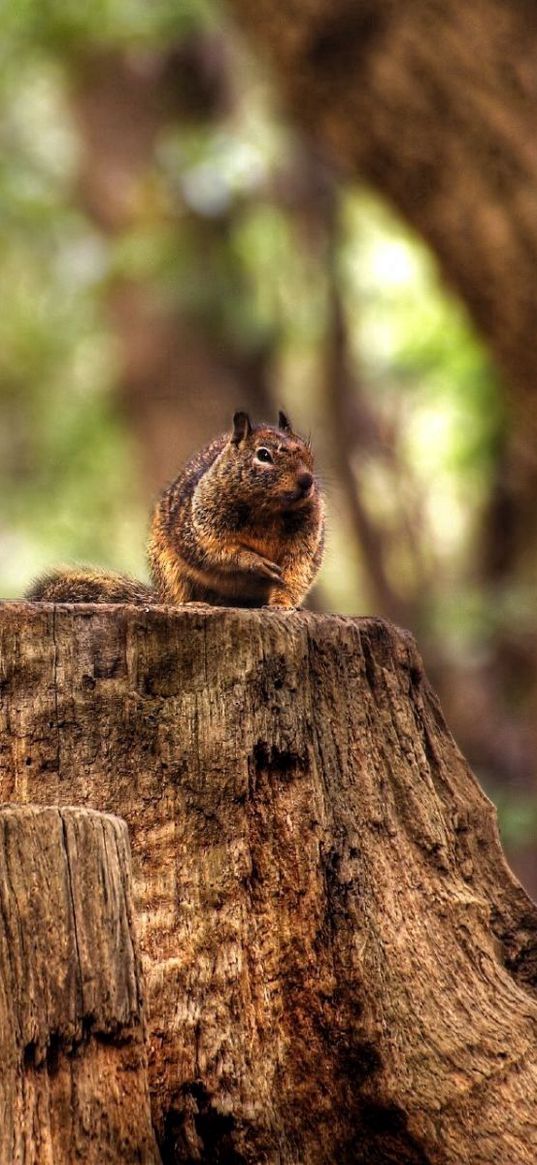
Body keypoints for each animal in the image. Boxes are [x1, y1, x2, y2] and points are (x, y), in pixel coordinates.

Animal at [27, 410, 323, 610]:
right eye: (263, 455)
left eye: (308, 451)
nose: (307, 481)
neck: (268, 510)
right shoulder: (200, 526)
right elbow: (216, 552)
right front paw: (254, 561)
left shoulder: (306, 539)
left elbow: (296, 571)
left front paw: (283, 605)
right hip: (169, 569)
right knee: (178, 596)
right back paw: (193, 604)